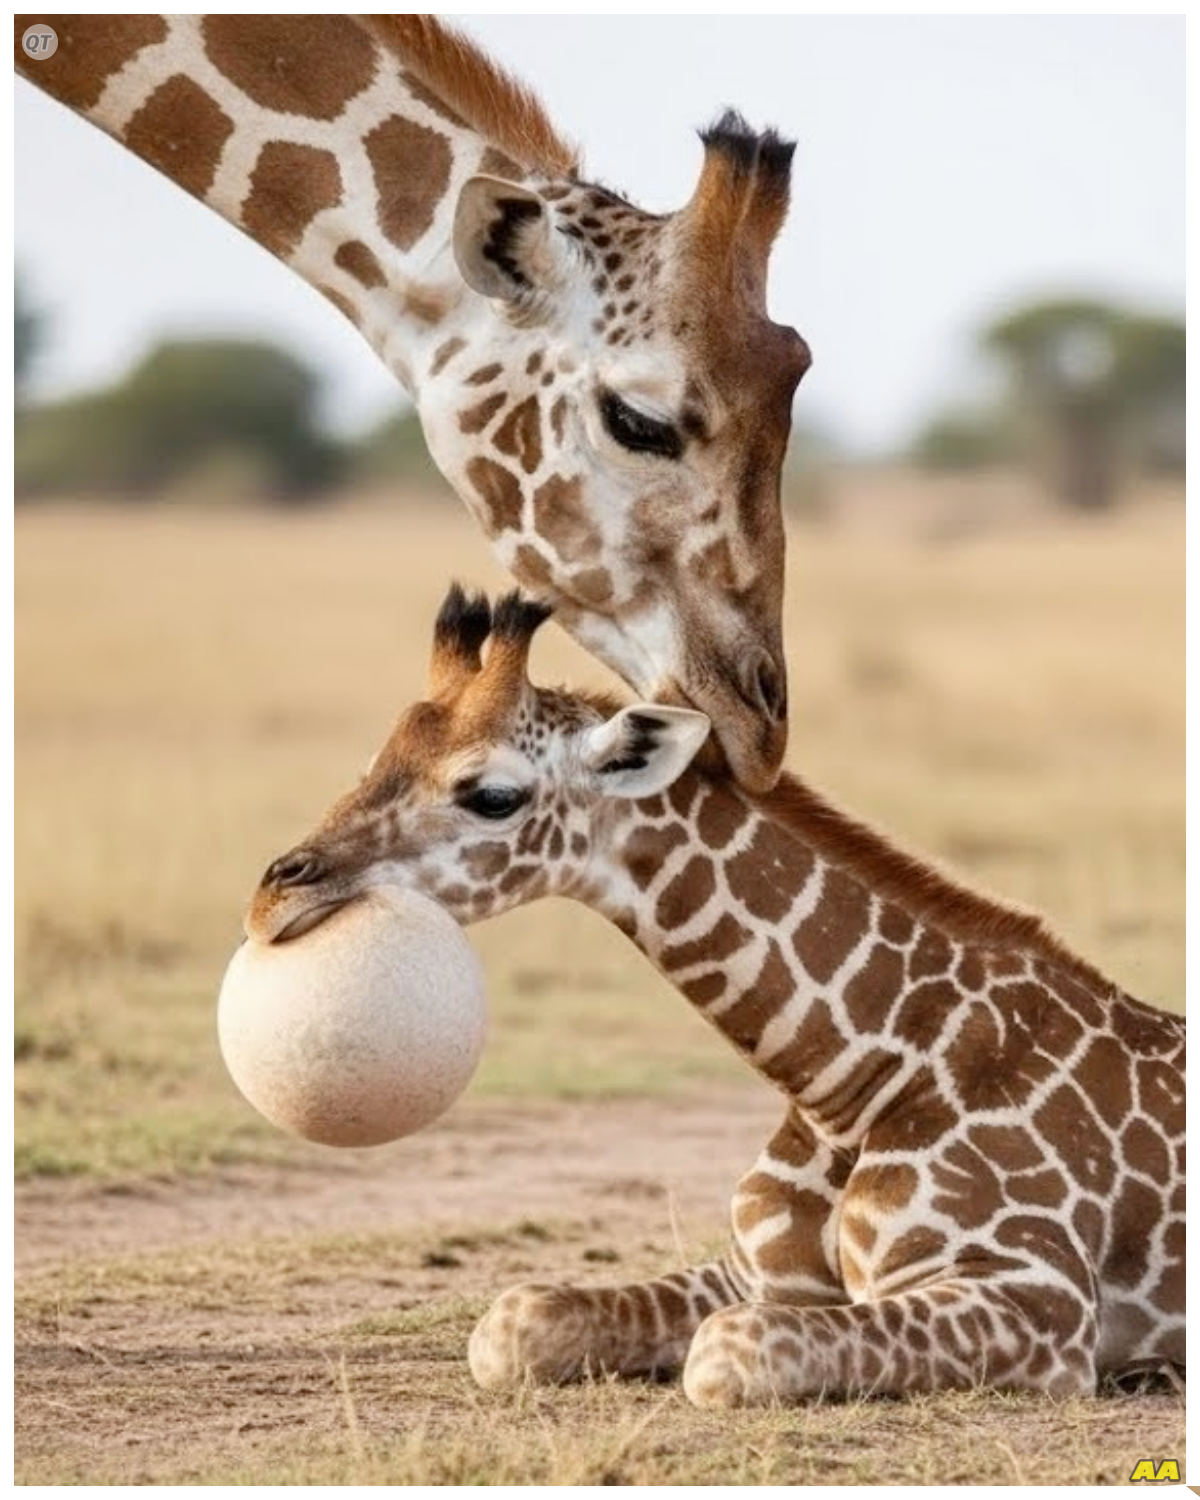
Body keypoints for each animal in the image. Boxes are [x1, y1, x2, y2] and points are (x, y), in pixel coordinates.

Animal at [245, 586, 1185, 1408]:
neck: (854, 1081)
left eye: (492, 795)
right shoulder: (753, 1269)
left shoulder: (1038, 1302)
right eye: (376, 762)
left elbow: (722, 1353)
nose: (271, 897)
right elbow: (513, 1323)